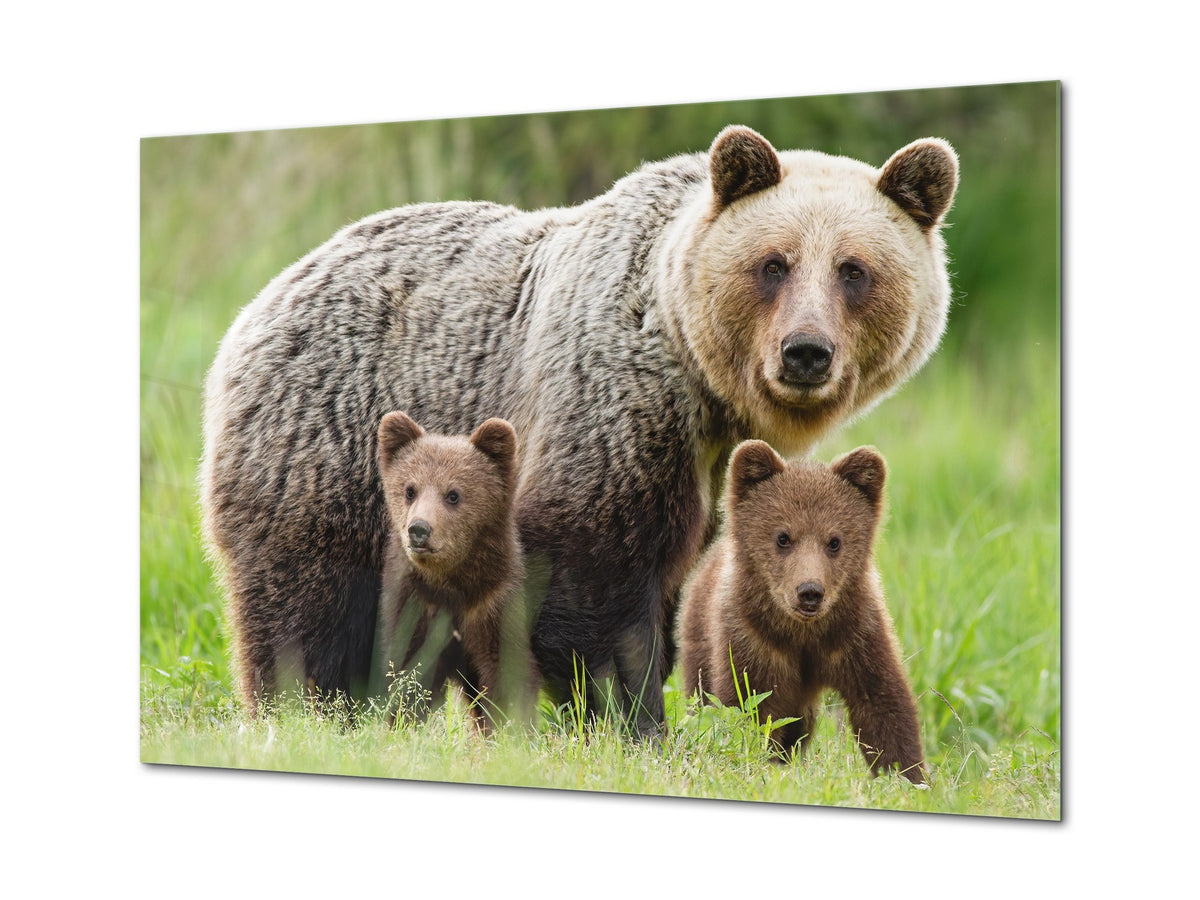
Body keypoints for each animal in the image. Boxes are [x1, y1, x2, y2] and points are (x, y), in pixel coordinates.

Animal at [370, 410, 536, 730]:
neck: (451, 587)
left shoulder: (493, 606)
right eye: (410, 490)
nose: (419, 529)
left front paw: (509, 728)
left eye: (453, 494)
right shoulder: (414, 606)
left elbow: (504, 674)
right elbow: (409, 675)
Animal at [677, 440, 925, 783]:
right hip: (699, 636)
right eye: (783, 537)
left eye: (834, 541)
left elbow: (884, 705)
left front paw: (908, 777)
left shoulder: (856, 635)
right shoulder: (753, 640)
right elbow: (748, 705)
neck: (803, 633)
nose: (810, 591)